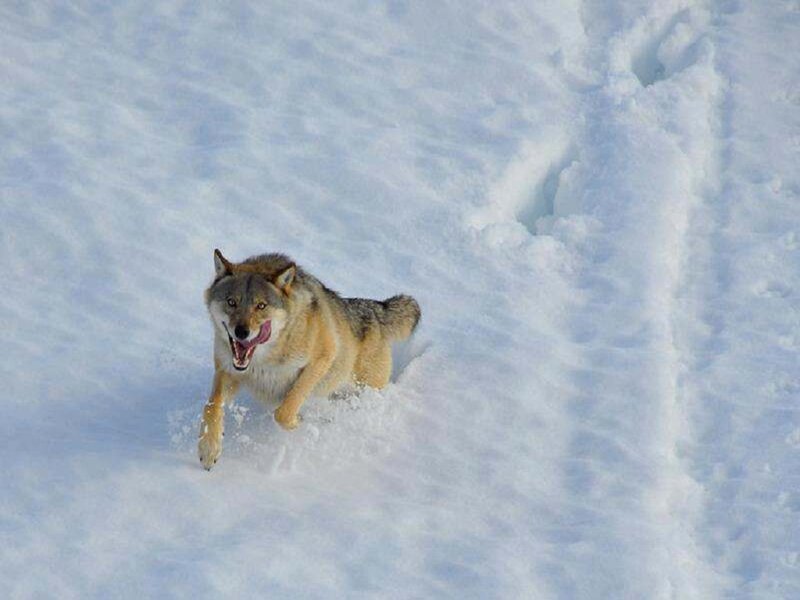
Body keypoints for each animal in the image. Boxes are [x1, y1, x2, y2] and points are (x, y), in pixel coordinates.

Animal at [198, 249, 421, 470]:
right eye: (231, 302)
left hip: (364, 388)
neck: (265, 360)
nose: (241, 332)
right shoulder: (227, 370)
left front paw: (301, 422)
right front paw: (208, 449)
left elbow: (285, 410)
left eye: (261, 306)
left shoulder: (323, 356)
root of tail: (377, 309)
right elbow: (211, 406)